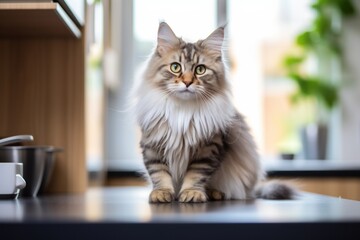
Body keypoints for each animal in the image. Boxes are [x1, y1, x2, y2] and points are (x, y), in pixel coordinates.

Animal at [132, 22, 296, 202]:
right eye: (175, 67)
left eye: (200, 70)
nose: (187, 82)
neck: (183, 110)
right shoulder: (153, 145)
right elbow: (159, 173)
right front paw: (161, 193)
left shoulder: (208, 148)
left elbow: (196, 175)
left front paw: (192, 193)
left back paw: (214, 193)